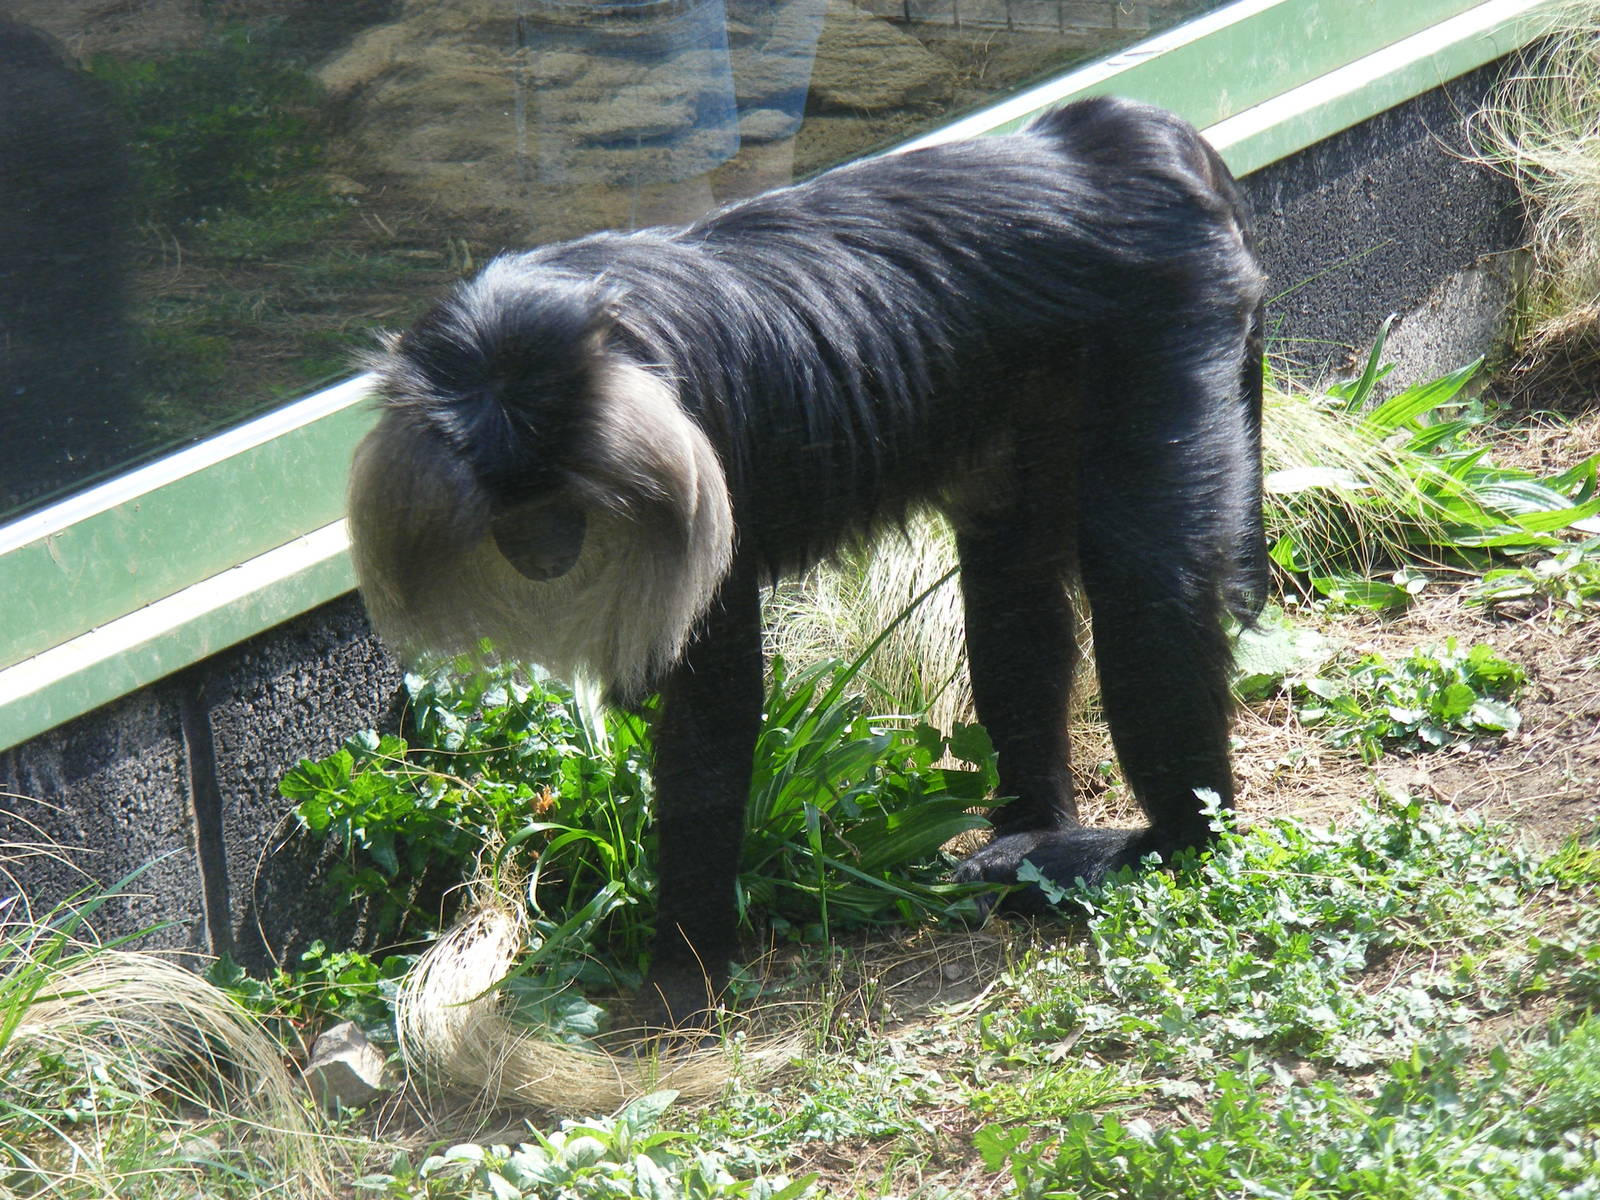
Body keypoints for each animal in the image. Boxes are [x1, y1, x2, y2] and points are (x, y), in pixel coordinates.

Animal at [347, 95, 1267, 1028]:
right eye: (511, 508)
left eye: (552, 497)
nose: (540, 547)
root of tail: (1118, 139)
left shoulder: (700, 451)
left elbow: (713, 710)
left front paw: (683, 971)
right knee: (1012, 578)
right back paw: (1032, 838)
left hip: (1167, 323)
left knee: (1148, 582)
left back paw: (1174, 844)